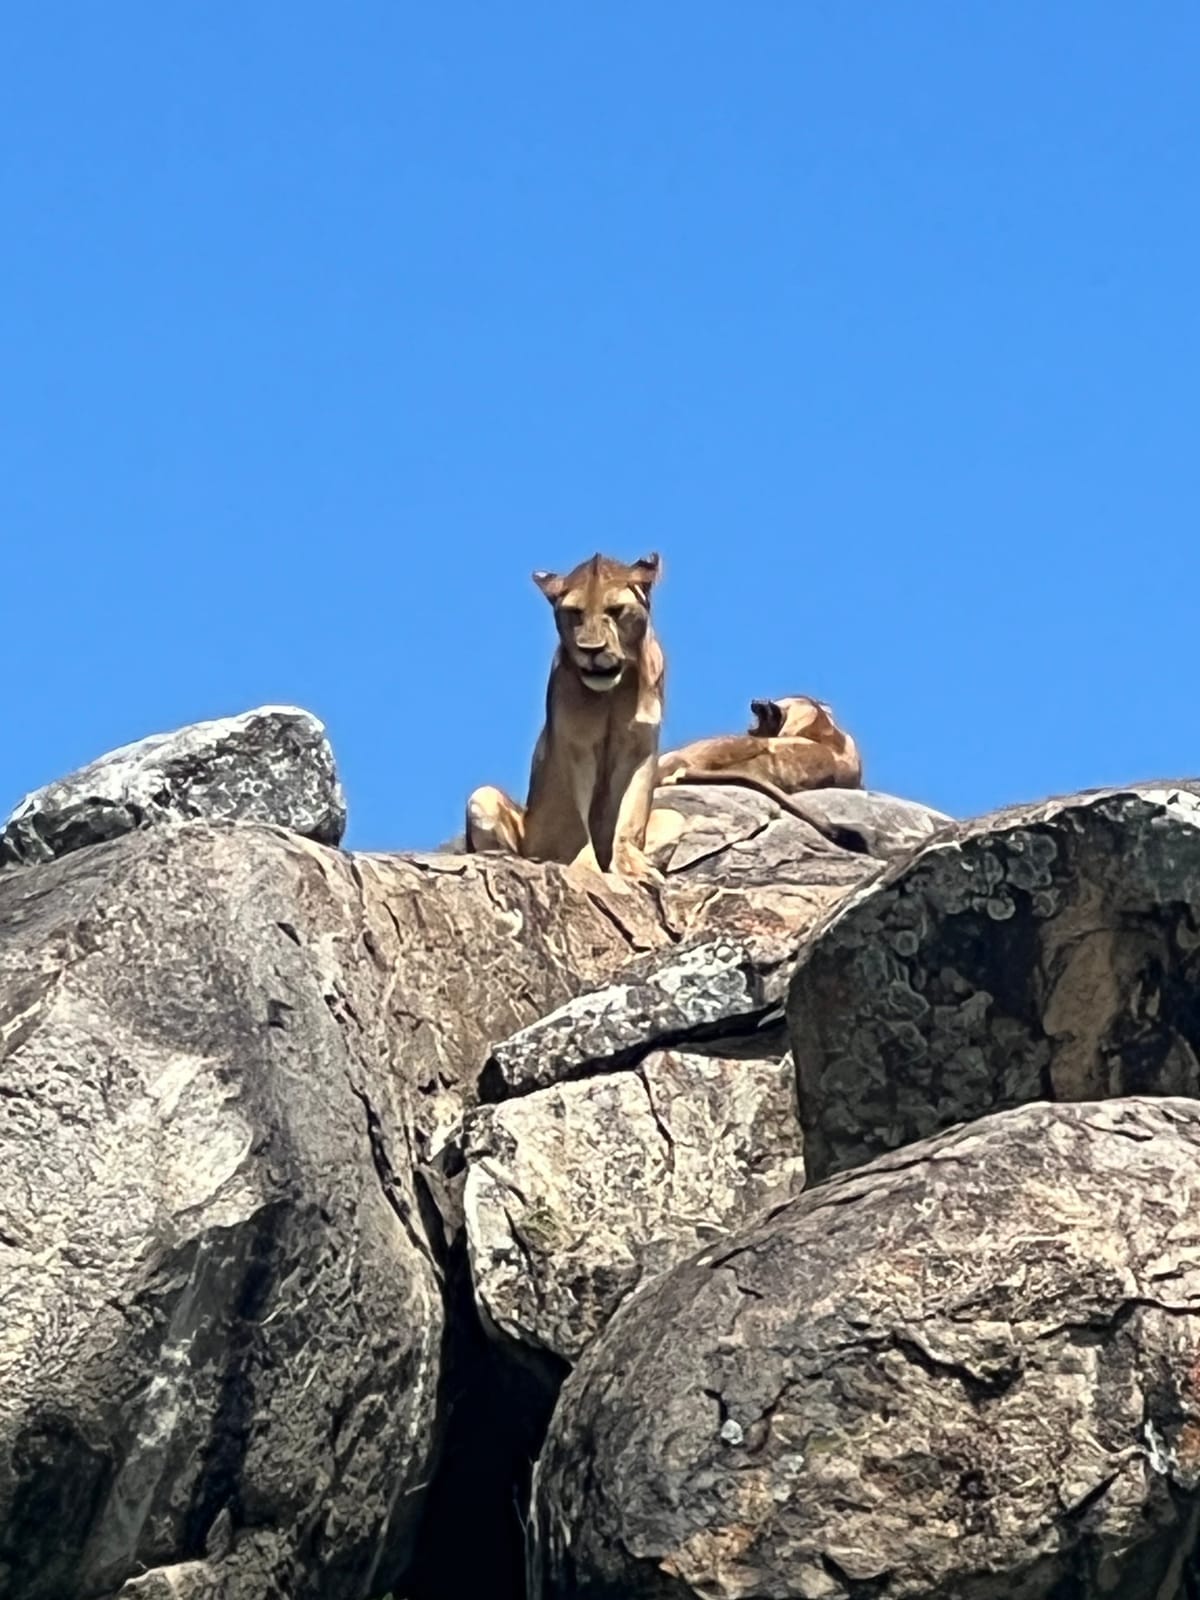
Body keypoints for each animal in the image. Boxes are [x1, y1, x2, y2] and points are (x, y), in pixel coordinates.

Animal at [465, 551, 665, 877]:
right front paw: (585, 865)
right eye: (574, 613)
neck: (612, 692)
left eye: (615, 610)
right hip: (485, 796)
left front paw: (632, 866)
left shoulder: (640, 747)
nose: (592, 650)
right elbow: (576, 822)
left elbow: (631, 816)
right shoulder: (575, 747)